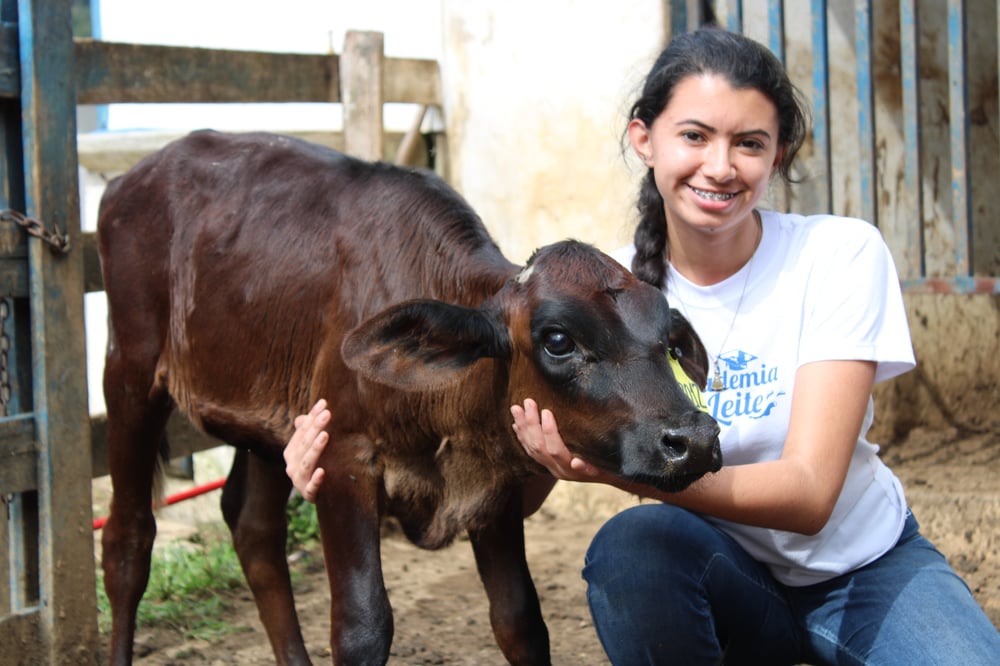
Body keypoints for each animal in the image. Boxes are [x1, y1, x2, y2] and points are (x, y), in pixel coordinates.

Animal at [97, 131, 724, 664]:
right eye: (558, 340)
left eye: (668, 339)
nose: (692, 439)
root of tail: (137, 173)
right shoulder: (341, 455)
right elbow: (362, 626)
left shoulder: (494, 480)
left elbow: (519, 620)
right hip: (128, 372)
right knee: (129, 542)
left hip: (266, 418)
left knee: (253, 530)